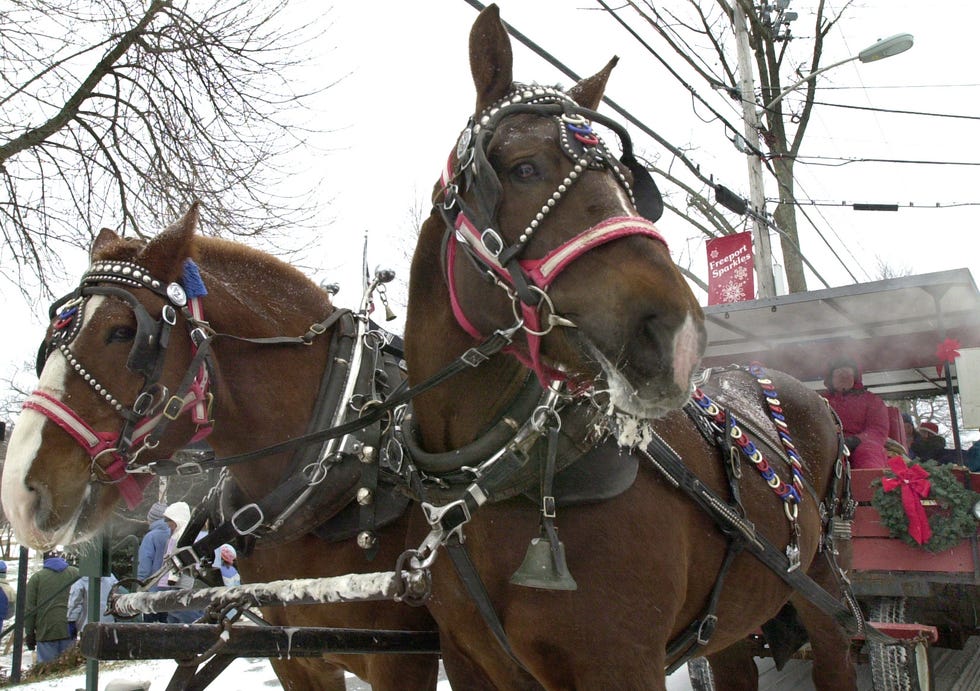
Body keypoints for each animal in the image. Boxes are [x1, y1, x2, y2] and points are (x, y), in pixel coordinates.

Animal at [402, 6, 852, 691]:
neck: (496, 482)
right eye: (523, 167)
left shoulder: (622, 662)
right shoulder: (467, 660)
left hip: (822, 586)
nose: (681, 336)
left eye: (627, 185)